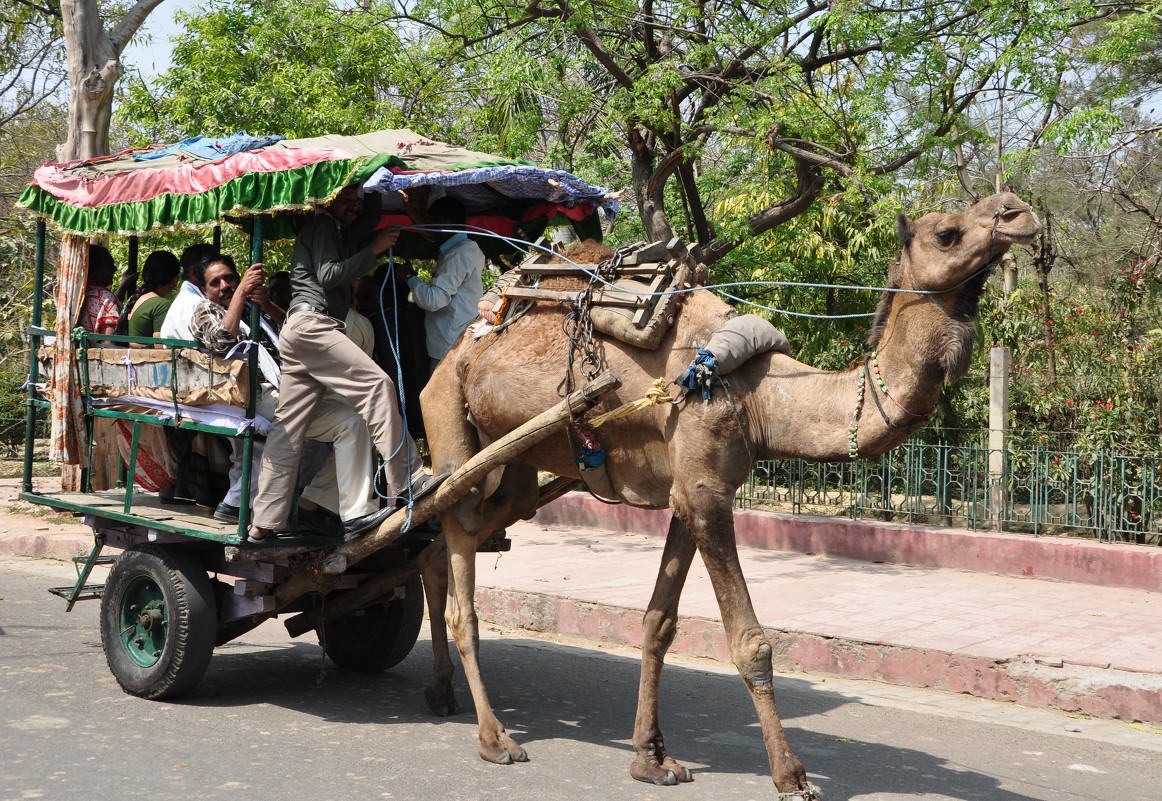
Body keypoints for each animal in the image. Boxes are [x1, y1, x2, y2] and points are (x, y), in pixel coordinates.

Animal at [418, 191, 1045, 795]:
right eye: (947, 233)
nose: (1019, 212)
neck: (761, 395)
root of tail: (468, 338)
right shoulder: (705, 492)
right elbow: (751, 642)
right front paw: (791, 776)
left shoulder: (692, 491)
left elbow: (659, 624)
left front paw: (651, 760)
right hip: (449, 413)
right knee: (456, 545)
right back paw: (494, 737)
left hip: (517, 462)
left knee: (451, 535)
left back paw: (441, 690)